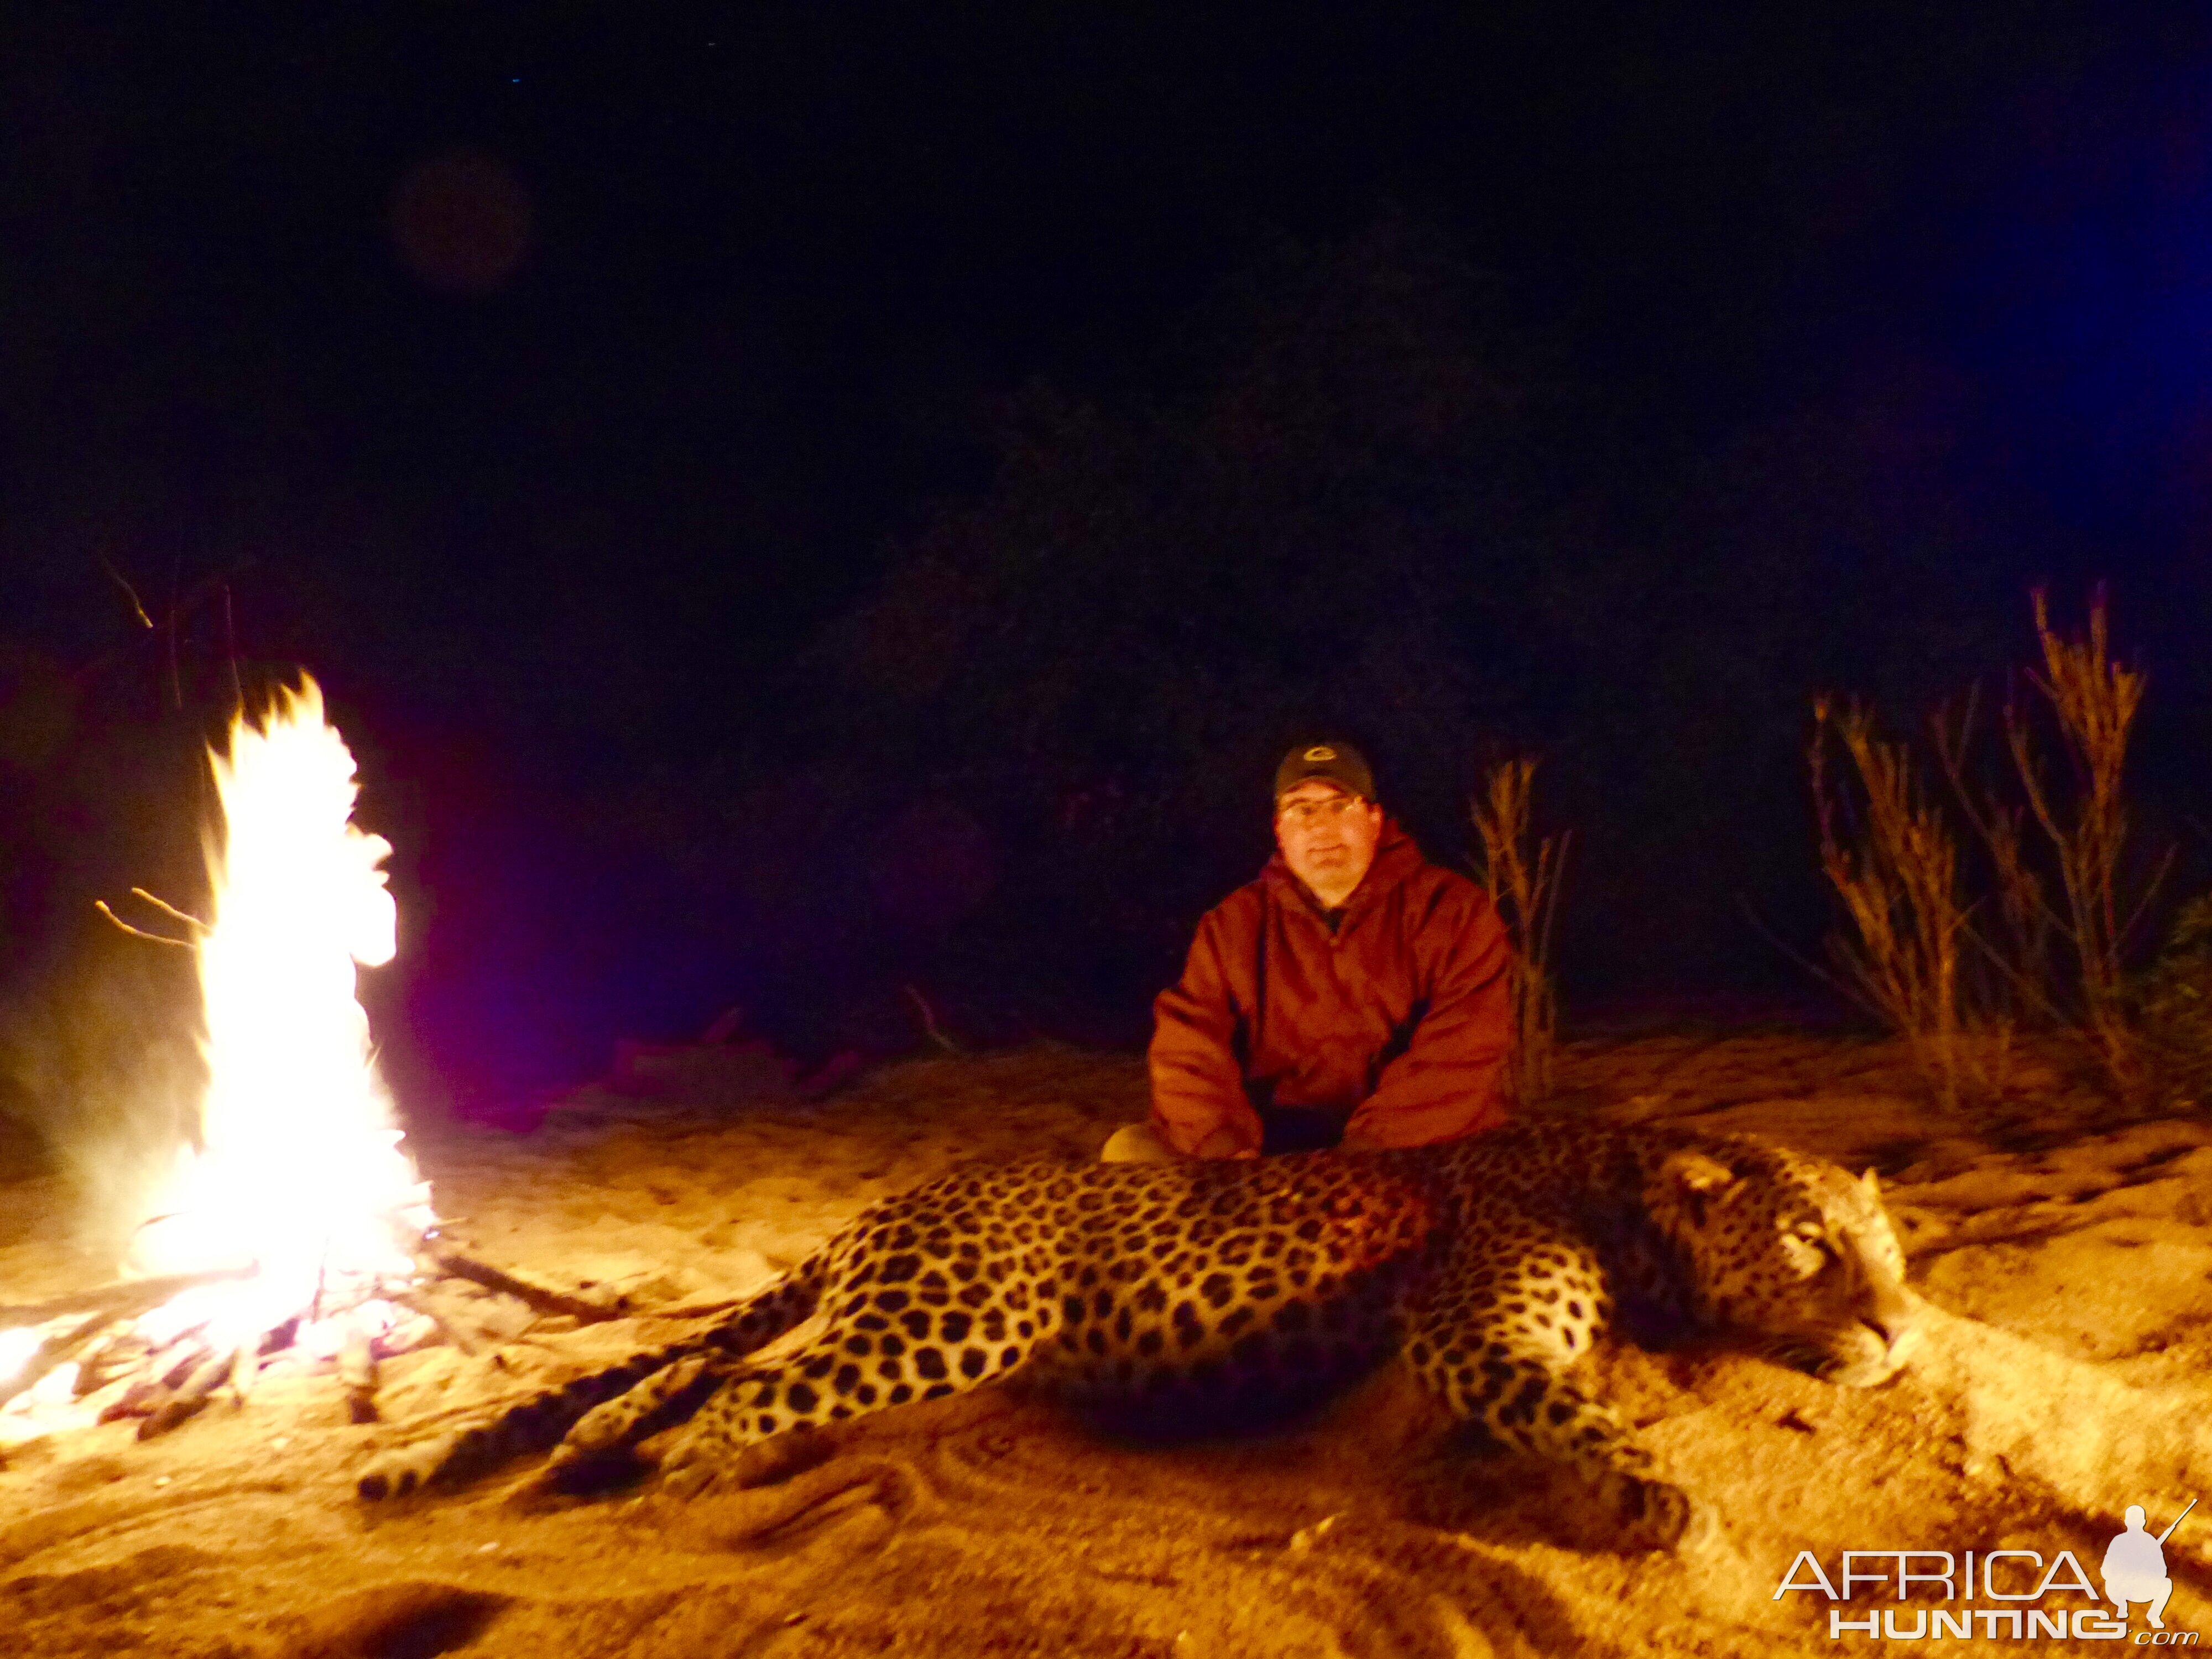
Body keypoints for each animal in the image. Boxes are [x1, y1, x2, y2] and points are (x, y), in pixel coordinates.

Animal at [358, 1124, 1920, 1557]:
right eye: (1809, 1246)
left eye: (1893, 1249)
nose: (1904, 1329)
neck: (1617, 1178)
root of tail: (890, 1196)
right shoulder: (1470, 1339)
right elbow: (1581, 1411)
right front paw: (1666, 1498)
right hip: (955, 1315)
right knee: (743, 1383)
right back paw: (682, 1483)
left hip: (885, 1311)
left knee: (696, 1363)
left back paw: (584, 1451)